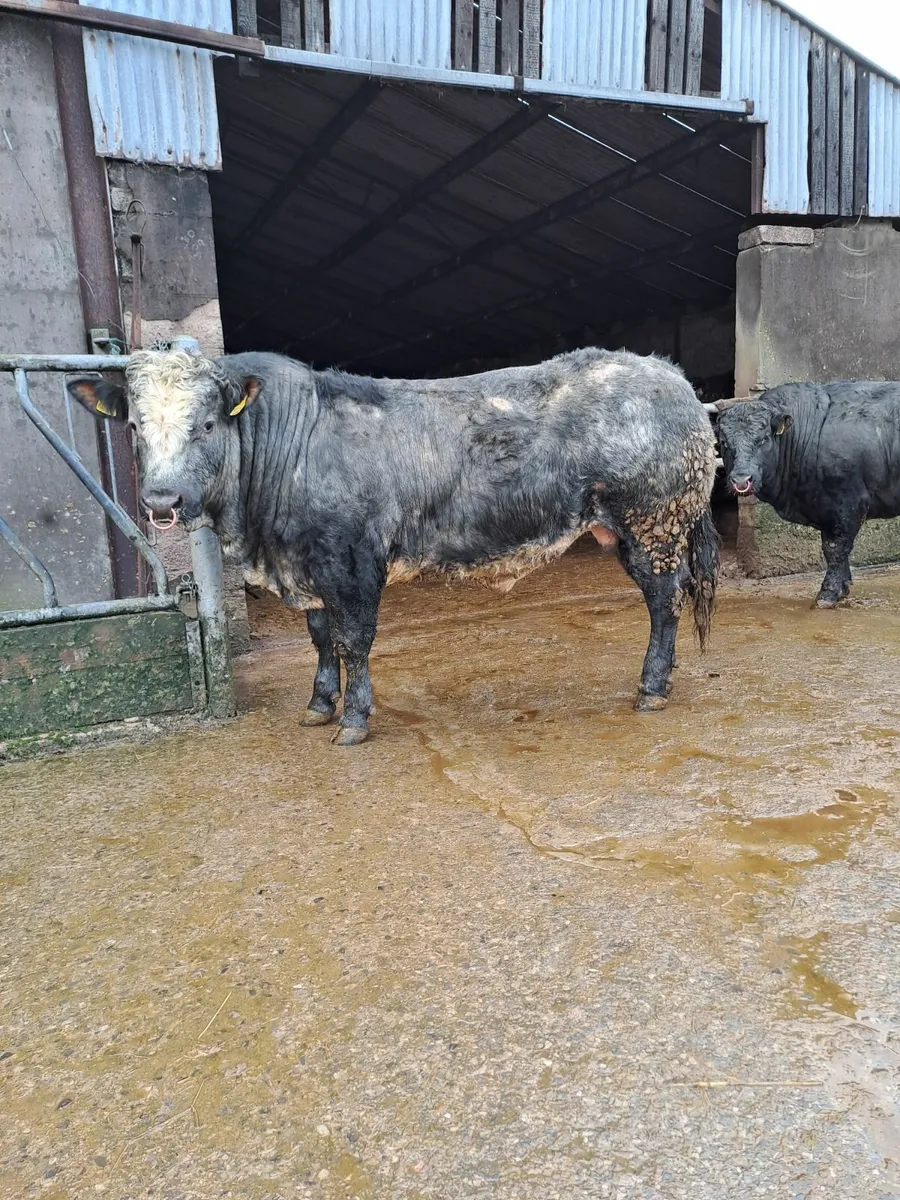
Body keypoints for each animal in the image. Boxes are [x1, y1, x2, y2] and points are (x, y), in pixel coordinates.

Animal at [68, 347, 719, 744]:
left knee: (666, 602)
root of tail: (673, 378)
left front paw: (353, 720)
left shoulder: (352, 559)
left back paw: (652, 688)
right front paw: (319, 705)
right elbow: (320, 637)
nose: (162, 500)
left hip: (653, 524)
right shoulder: (308, 565)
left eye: (206, 425)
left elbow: (353, 639)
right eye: (135, 426)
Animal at [717, 380, 900, 607]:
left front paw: (828, 593)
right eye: (724, 442)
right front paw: (843, 586)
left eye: (764, 439)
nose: (742, 480)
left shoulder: (847, 504)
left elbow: (835, 549)